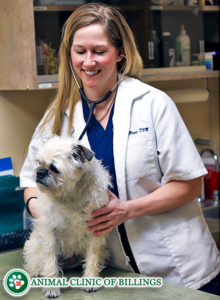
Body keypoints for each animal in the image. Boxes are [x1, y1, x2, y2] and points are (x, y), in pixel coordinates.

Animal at [23, 136, 111, 298]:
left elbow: (93, 257)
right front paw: (51, 286)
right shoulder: (49, 234)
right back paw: (37, 273)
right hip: (34, 247)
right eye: (39, 163)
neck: (70, 194)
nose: (40, 172)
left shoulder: (95, 232)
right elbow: (50, 260)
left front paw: (90, 279)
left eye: (54, 168)